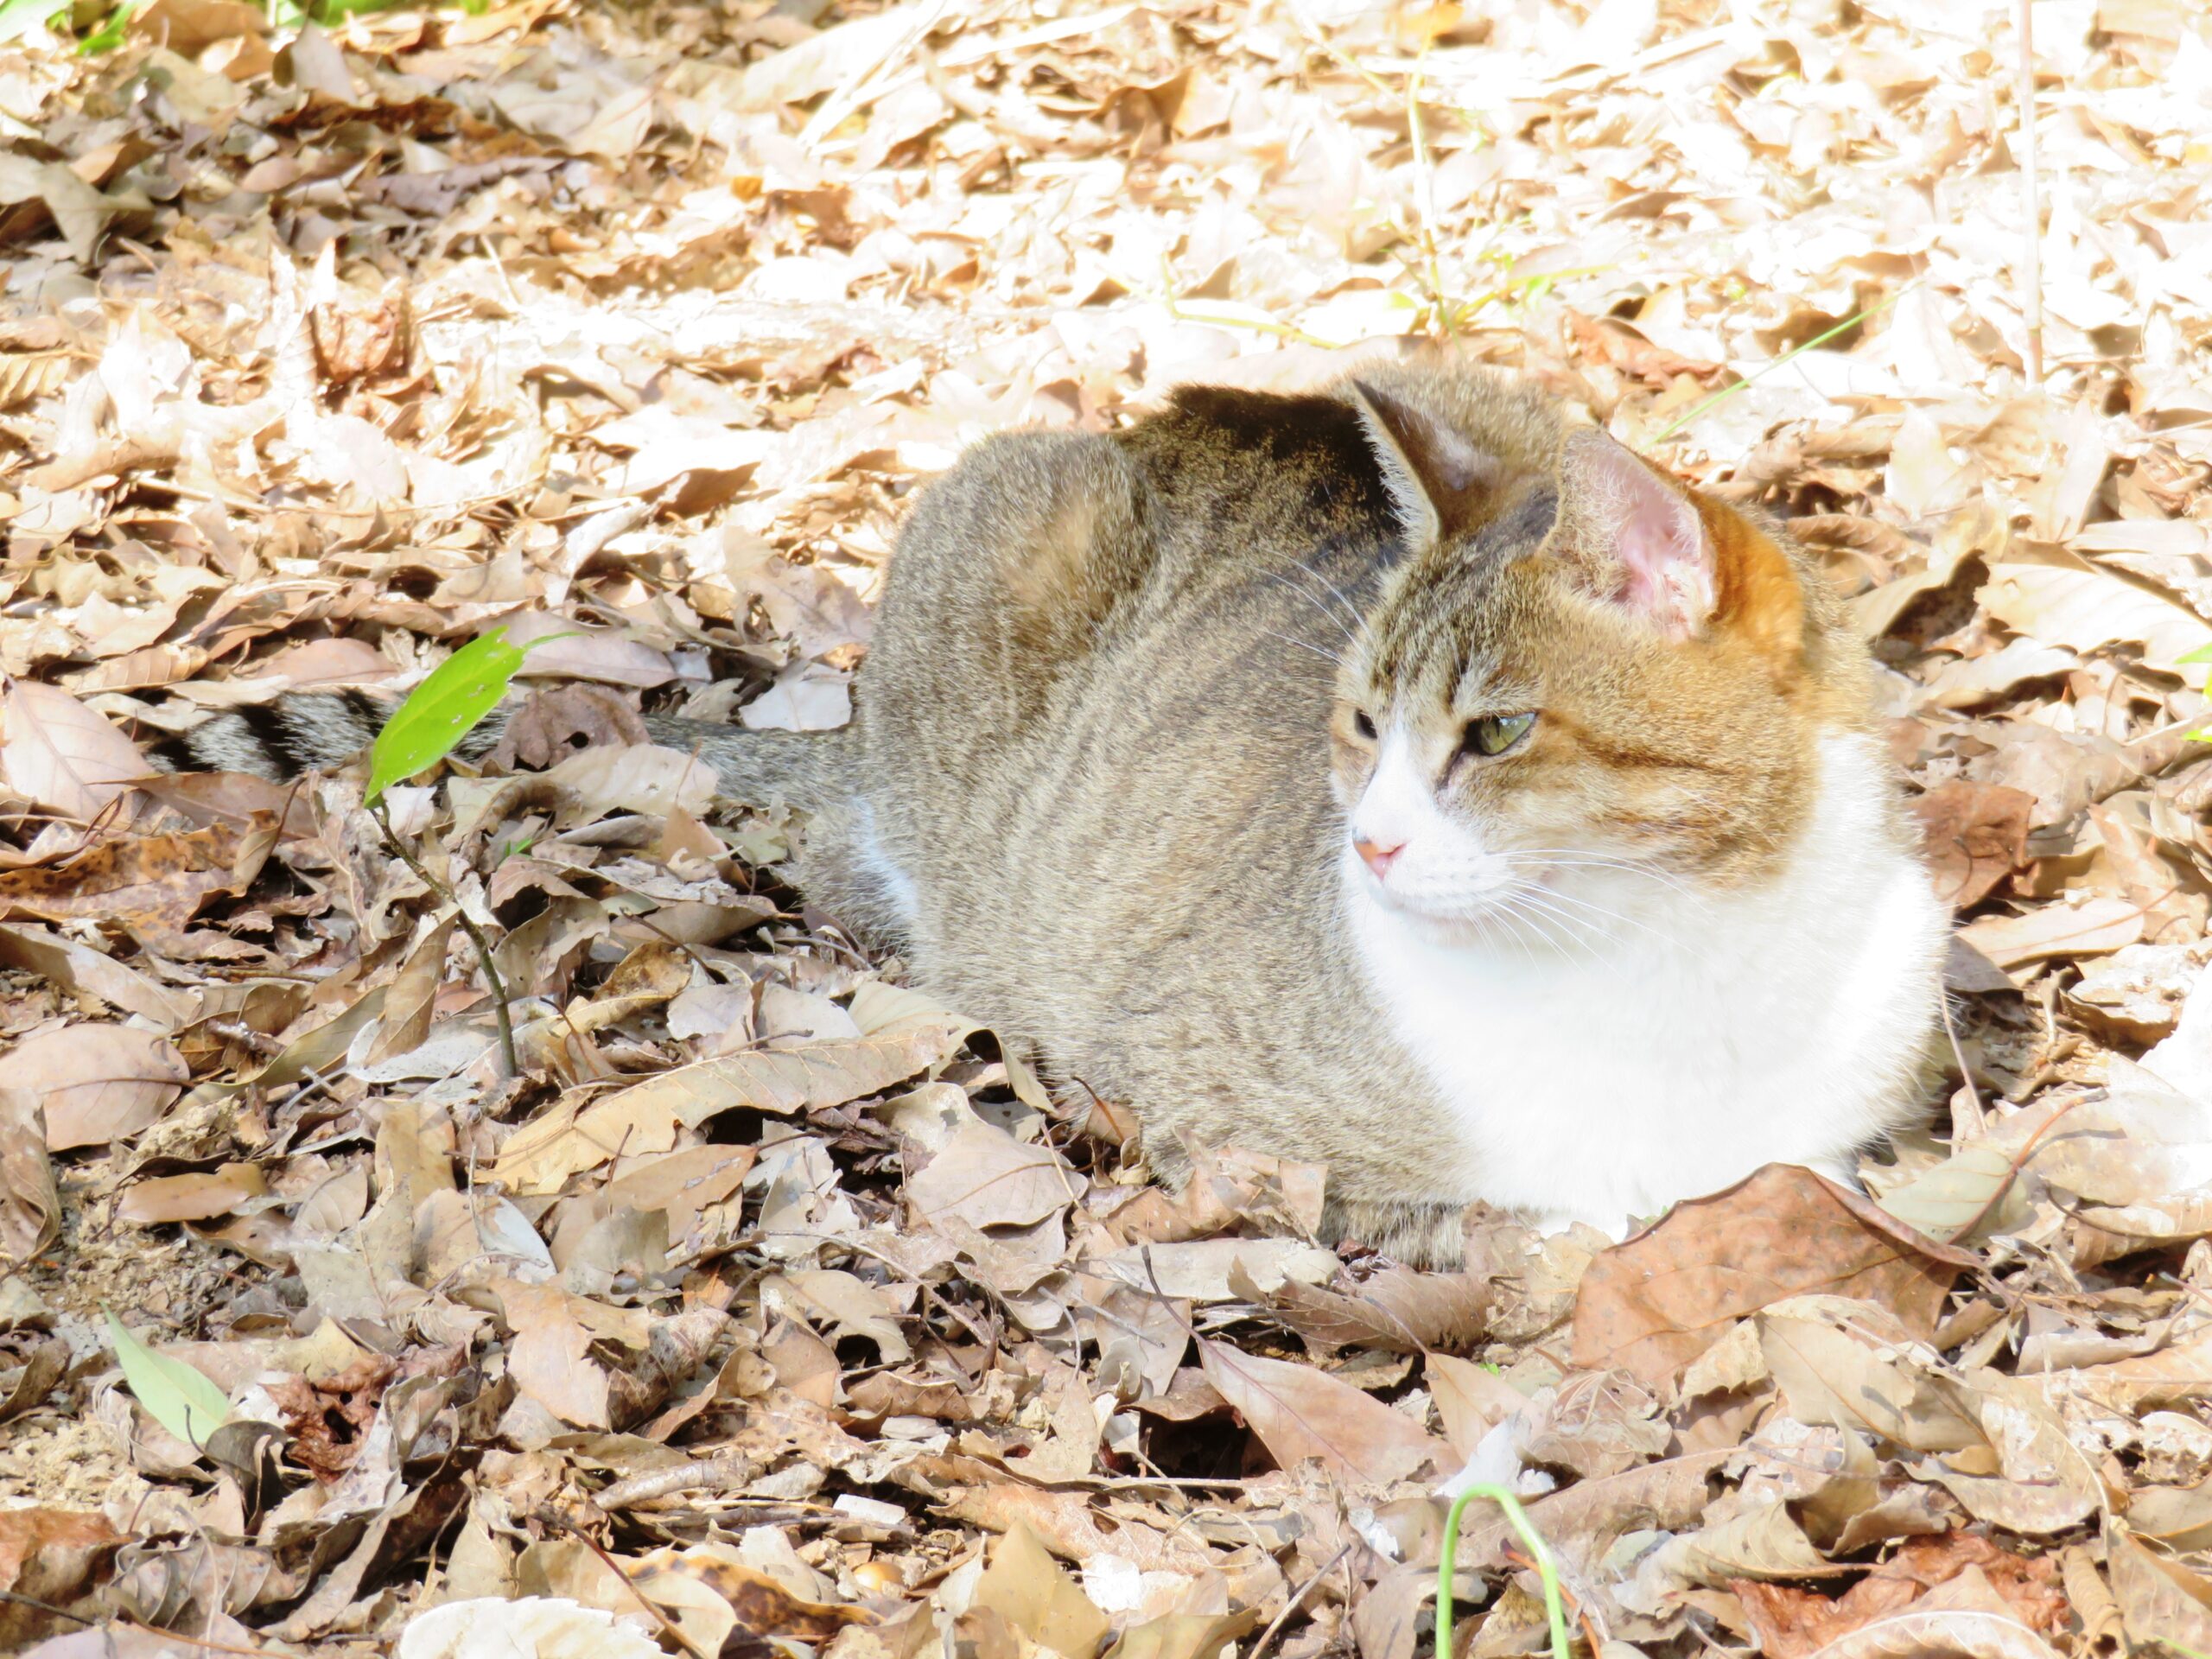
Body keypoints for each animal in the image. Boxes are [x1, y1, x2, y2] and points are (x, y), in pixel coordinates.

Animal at [156, 362, 1946, 1265]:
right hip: (999, 519)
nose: (1367, 842)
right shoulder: (1234, 1121)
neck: (1677, 952)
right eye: (1362, 726)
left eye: (1495, 734)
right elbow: (1517, 1215)